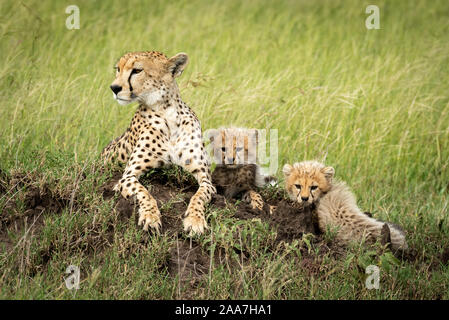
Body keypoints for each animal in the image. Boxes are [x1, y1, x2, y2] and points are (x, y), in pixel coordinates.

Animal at [101, 50, 215, 235]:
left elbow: (199, 196)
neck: (167, 111)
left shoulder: (205, 178)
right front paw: (150, 217)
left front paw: (195, 220)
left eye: (137, 70)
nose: (114, 88)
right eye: (118, 69)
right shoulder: (127, 176)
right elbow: (144, 193)